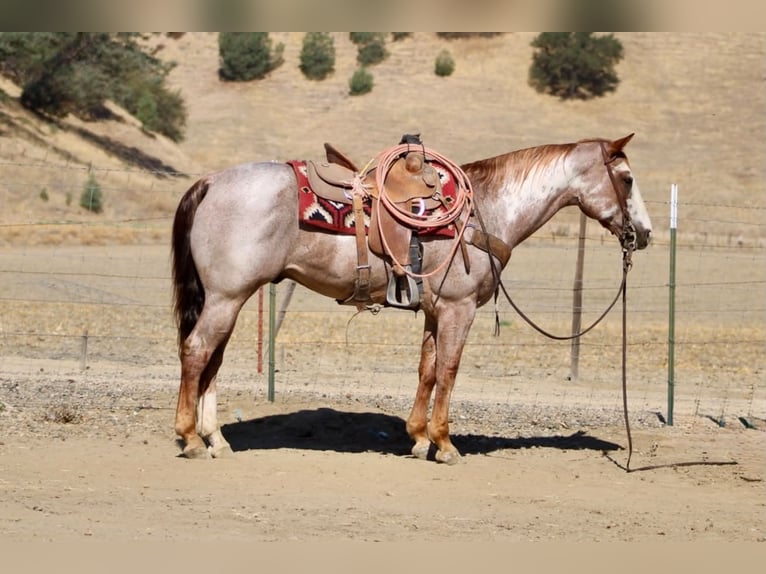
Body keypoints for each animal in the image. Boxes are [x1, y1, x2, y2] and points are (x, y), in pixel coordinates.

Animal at [171, 133, 652, 464]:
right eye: (627, 179)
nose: (644, 234)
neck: (487, 210)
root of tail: (211, 181)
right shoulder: (458, 309)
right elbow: (450, 370)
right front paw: (445, 443)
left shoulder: (435, 312)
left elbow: (427, 370)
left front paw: (419, 438)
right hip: (227, 297)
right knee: (197, 351)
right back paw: (191, 438)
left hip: (228, 298)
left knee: (212, 358)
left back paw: (216, 439)